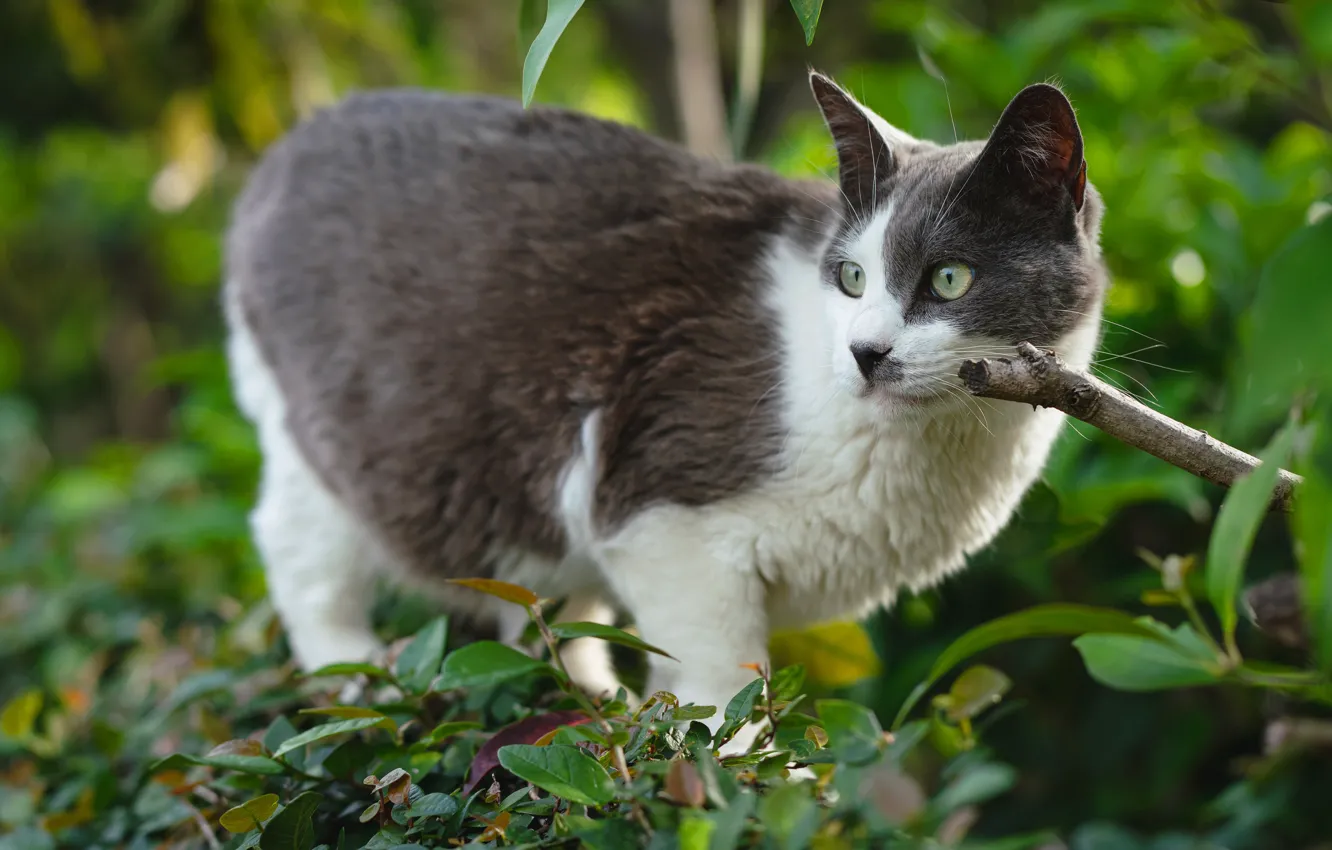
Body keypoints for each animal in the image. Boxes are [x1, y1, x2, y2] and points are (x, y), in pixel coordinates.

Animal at [223, 68, 1108, 735]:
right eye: (853, 277)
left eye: (949, 278)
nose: (865, 352)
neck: (939, 448)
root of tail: (287, 148)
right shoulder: (668, 510)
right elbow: (721, 682)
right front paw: (737, 774)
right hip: (331, 435)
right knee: (296, 546)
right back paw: (355, 678)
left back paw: (586, 698)